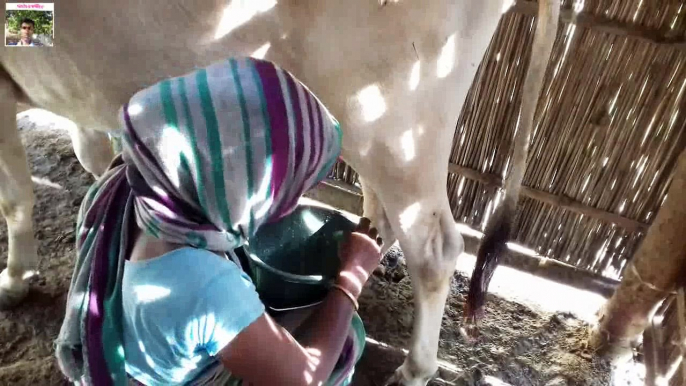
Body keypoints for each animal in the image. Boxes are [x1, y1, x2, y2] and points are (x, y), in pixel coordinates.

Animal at [0, 1, 560, 384]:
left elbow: (15, 195)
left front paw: (15, 277)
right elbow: (92, 157)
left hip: (397, 122)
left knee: (436, 248)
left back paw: (415, 368)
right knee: (384, 211)